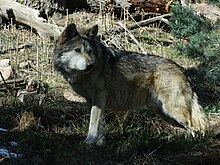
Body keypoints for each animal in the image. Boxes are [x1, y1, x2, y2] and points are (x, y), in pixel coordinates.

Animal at [53, 23, 210, 146]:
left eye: (90, 52)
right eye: (77, 50)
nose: (91, 65)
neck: (83, 76)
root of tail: (180, 69)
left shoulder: (100, 97)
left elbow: (93, 123)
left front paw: (89, 142)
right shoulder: (92, 101)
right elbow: (99, 123)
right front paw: (100, 142)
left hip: (173, 111)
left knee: (196, 128)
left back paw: (192, 146)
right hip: (165, 114)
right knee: (193, 128)